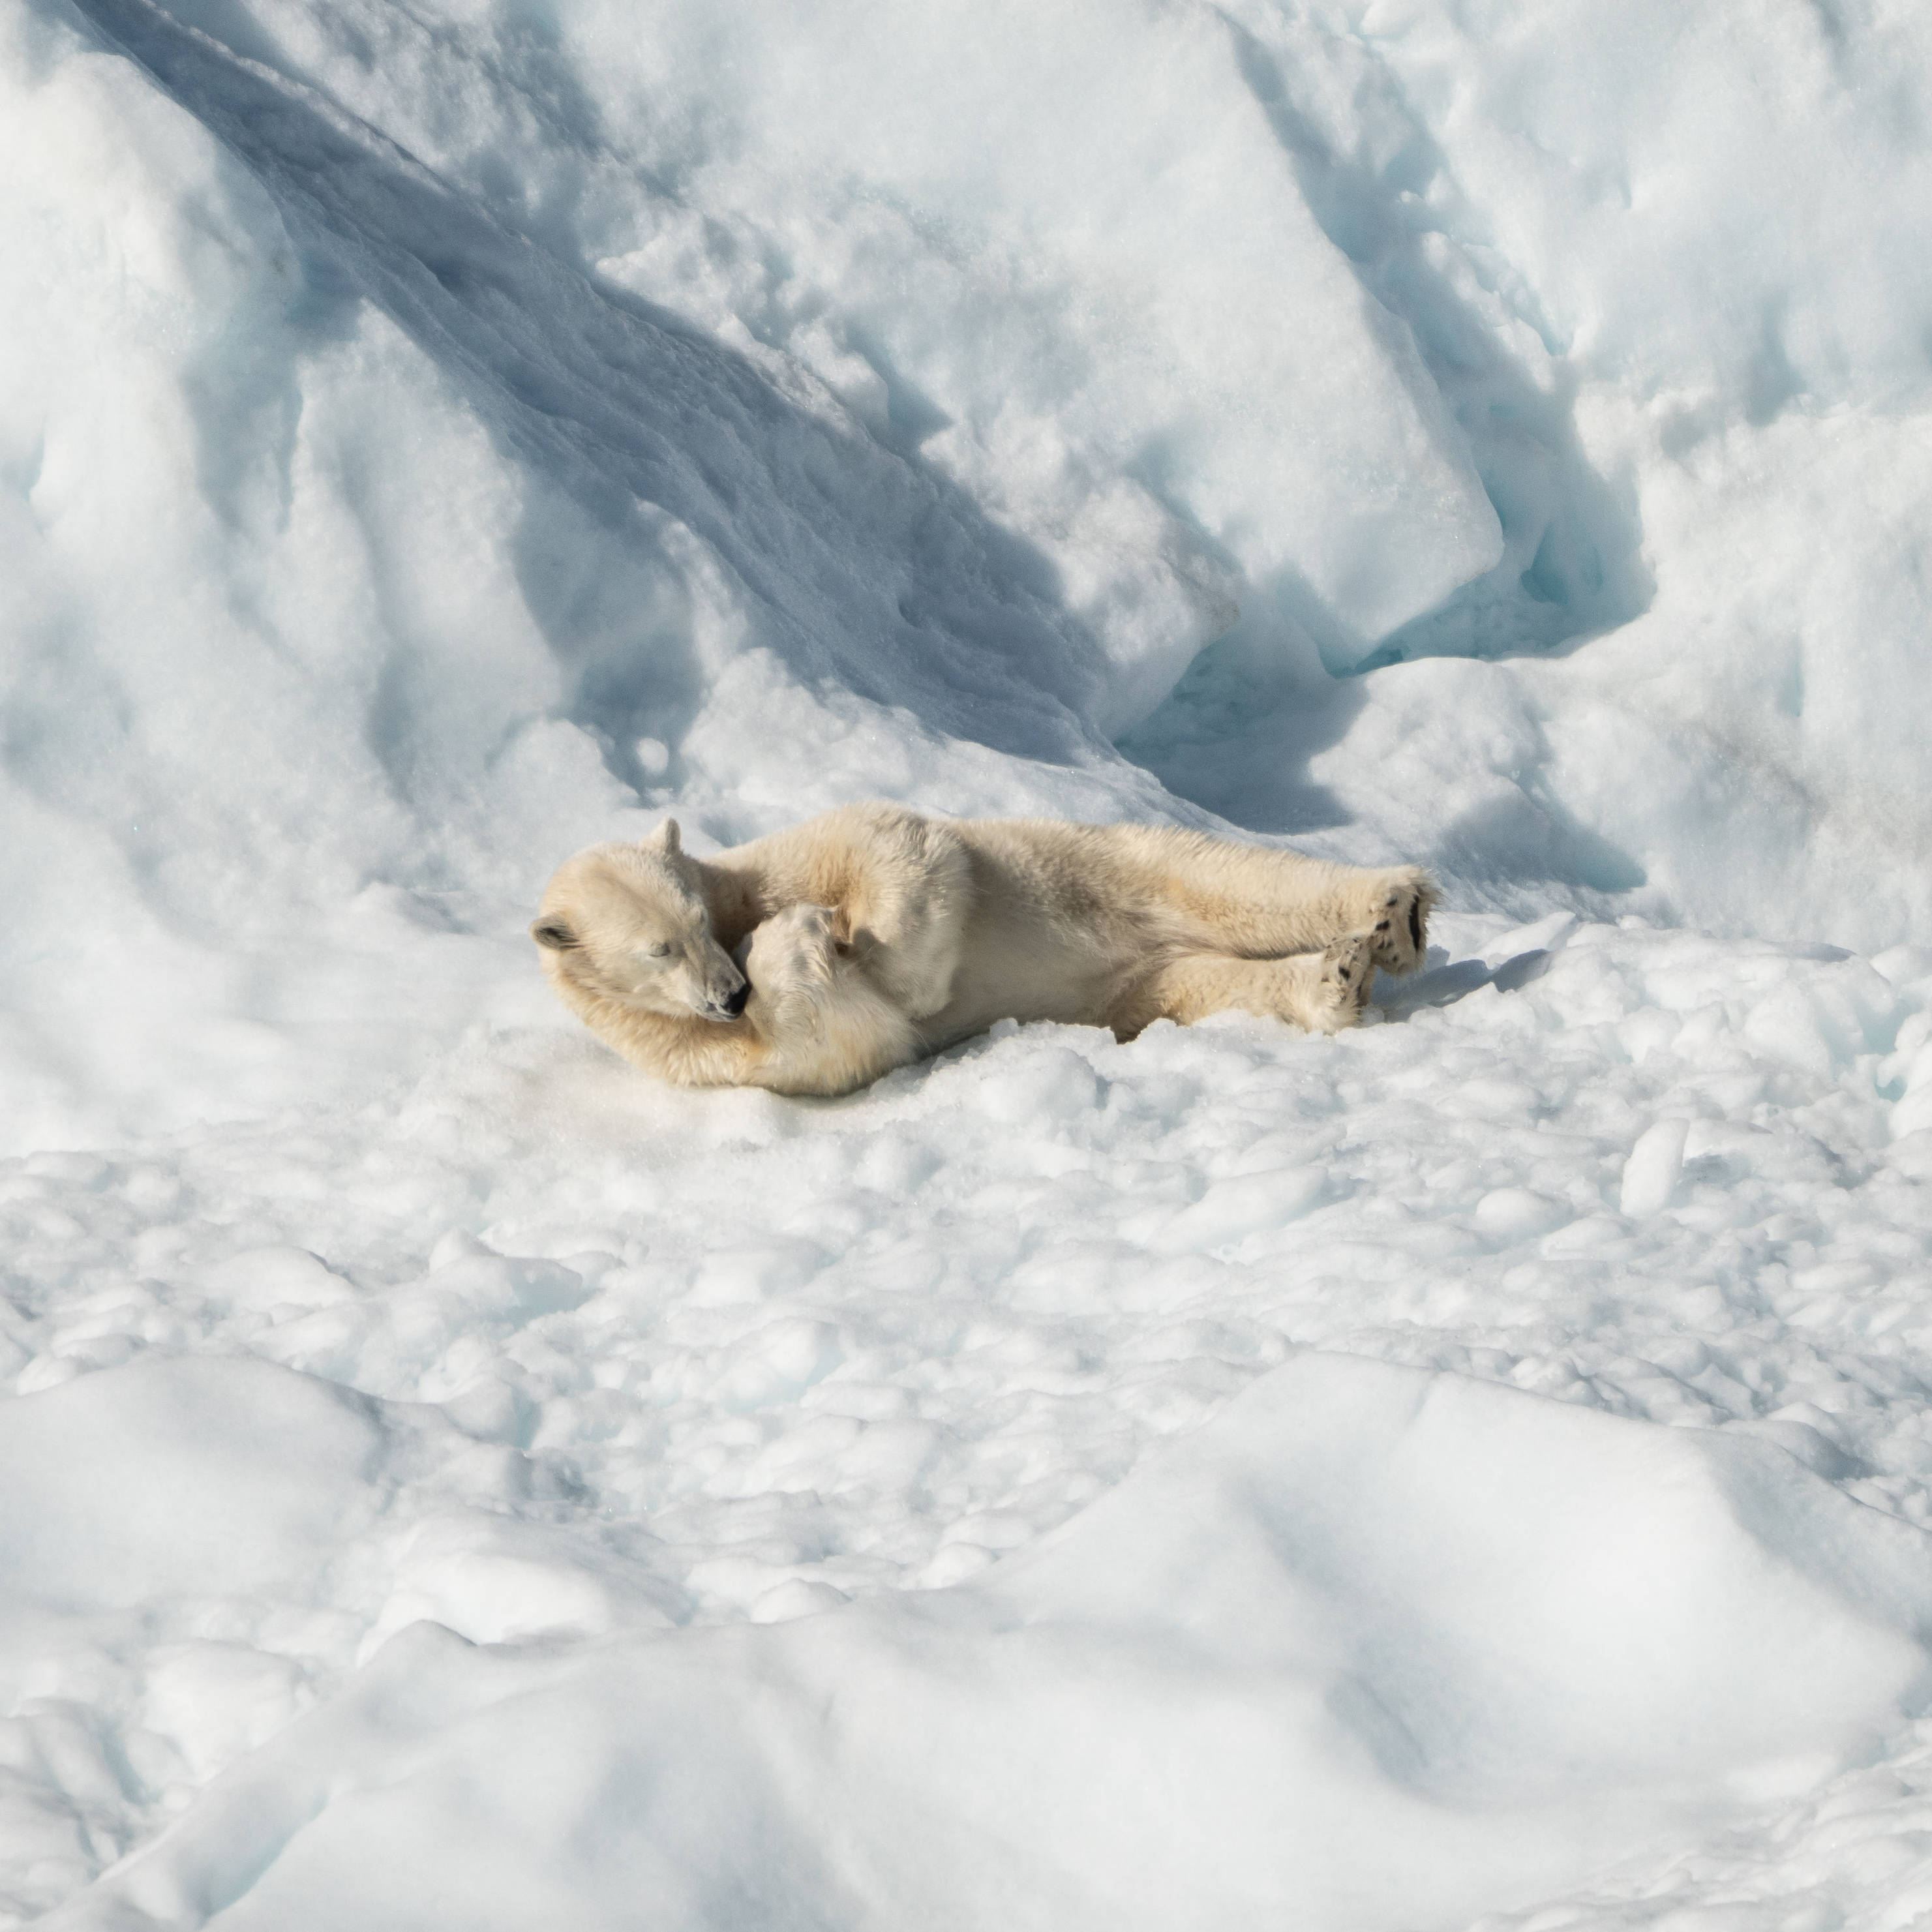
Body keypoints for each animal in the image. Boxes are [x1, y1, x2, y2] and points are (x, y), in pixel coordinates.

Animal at [529, 804, 1437, 1105]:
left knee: (1232, 878)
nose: (727, 993)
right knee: (1204, 986)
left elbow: (895, 847)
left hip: (1095, 868)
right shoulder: (680, 1047)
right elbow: (830, 1046)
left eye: (695, 921)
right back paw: (1338, 976)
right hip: (1133, 987)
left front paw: (856, 946)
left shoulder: (772, 863)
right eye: (657, 949)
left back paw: (1395, 911)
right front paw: (805, 953)